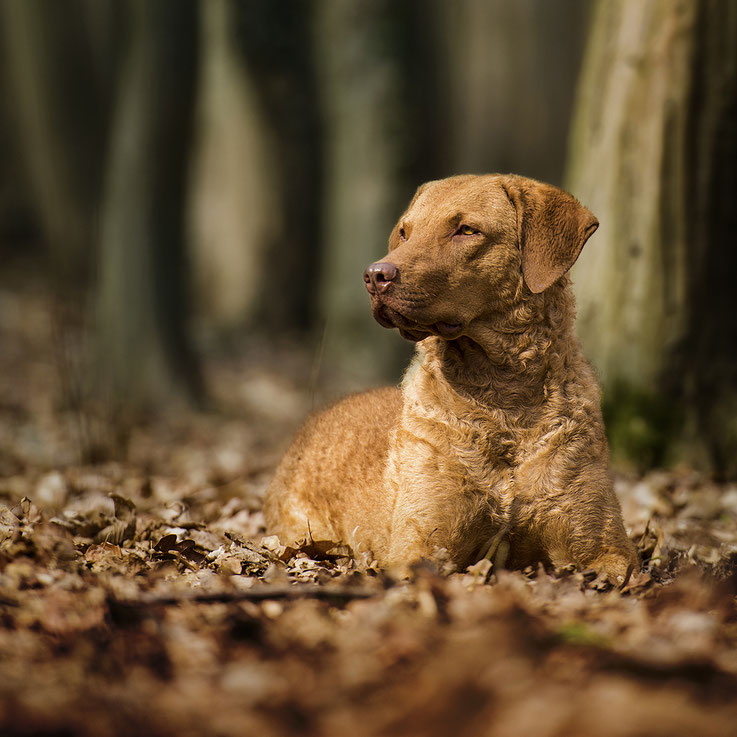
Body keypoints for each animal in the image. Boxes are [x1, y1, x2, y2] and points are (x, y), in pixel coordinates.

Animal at [264, 175, 640, 584]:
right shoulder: (420, 542)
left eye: (466, 230)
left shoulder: (609, 549)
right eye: (405, 232)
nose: (375, 275)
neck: (503, 399)